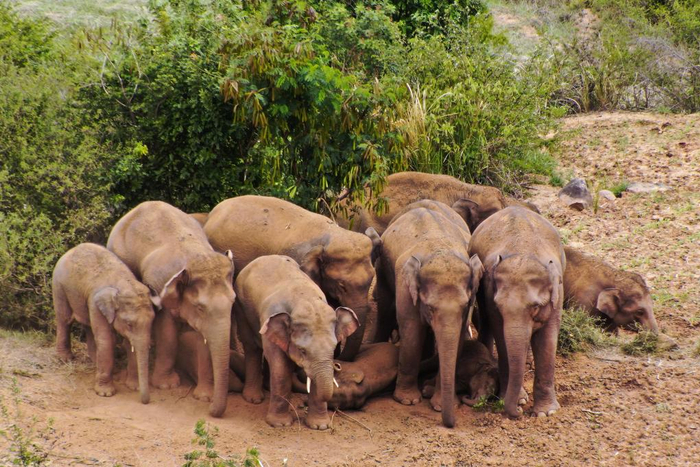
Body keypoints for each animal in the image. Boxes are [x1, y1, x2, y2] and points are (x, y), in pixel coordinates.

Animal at [52, 243, 157, 404]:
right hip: (59, 285)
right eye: (129, 324)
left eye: (152, 321)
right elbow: (106, 340)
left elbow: (129, 343)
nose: (145, 401)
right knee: (64, 320)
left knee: (88, 325)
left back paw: (95, 362)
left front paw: (134, 387)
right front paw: (105, 394)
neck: (124, 283)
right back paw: (64, 359)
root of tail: (72, 249)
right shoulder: (96, 304)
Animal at [107, 201, 235, 418]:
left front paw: (204, 397)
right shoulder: (160, 288)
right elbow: (167, 333)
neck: (196, 256)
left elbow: (203, 339)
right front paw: (166, 385)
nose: (211, 410)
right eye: (200, 308)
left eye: (234, 301)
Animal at [234, 255, 359, 429]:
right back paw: (254, 399)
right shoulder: (269, 319)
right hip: (241, 306)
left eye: (334, 348)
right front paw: (280, 424)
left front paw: (320, 427)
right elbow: (281, 369)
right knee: (252, 347)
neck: (304, 299)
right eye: (302, 351)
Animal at [374, 200, 484, 428]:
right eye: (430, 308)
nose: (450, 424)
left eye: (465, 306)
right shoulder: (405, 284)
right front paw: (407, 401)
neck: (439, 251)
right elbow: (411, 329)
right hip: (382, 267)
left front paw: (440, 405)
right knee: (385, 308)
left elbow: (457, 339)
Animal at [469, 206, 565, 419]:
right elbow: (501, 334)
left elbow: (548, 339)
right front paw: (517, 400)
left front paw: (546, 412)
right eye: (499, 306)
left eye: (535, 306)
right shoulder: (490, 292)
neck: (523, 251)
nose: (519, 412)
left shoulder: (557, 295)